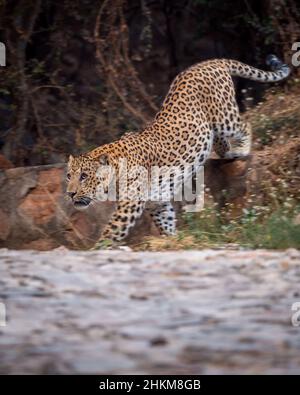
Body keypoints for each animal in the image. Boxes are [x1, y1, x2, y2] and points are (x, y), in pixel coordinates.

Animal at [66, 55, 290, 248]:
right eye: (69, 176)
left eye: (84, 176)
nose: (70, 193)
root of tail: (210, 62)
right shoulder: (157, 203)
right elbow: (167, 222)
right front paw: (174, 240)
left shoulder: (129, 207)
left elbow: (110, 232)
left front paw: (94, 251)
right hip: (213, 126)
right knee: (219, 140)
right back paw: (225, 152)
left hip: (225, 117)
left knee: (245, 125)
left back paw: (241, 149)